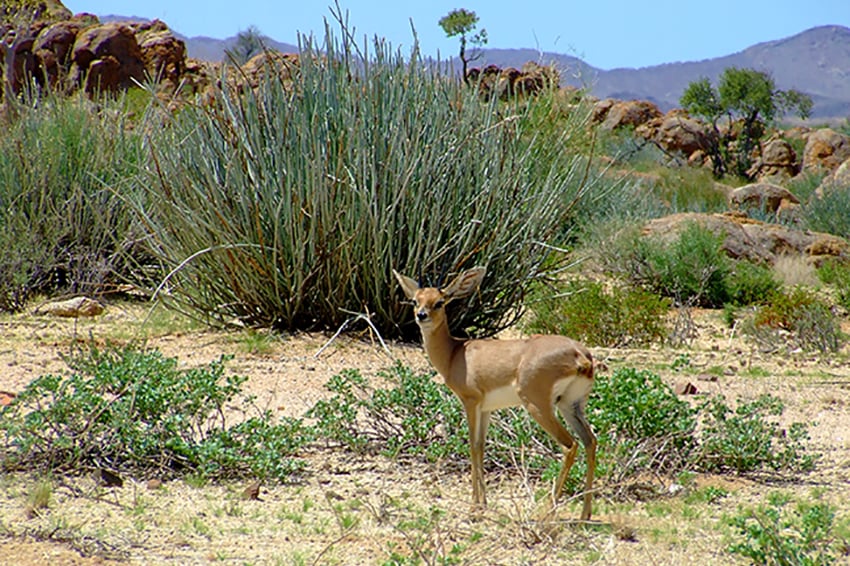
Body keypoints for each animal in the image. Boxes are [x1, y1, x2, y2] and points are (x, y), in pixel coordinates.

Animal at [392, 268, 596, 520]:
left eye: (439, 302)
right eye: (415, 300)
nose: (421, 315)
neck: (454, 353)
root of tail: (581, 356)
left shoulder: (470, 402)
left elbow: (472, 445)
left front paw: (473, 506)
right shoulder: (486, 409)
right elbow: (481, 446)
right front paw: (484, 503)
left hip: (538, 406)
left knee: (570, 445)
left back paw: (547, 511)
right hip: (570, 405)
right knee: (590, 442)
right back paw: (585, 514)